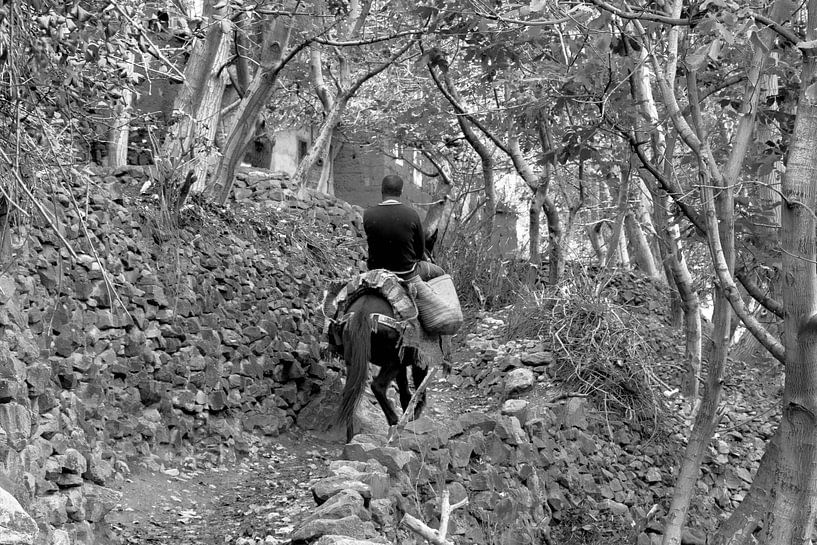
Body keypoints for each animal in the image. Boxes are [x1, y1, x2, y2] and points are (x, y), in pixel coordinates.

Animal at [336, 294, 428, 442]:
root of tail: (363, 312)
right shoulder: (420, 356)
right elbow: (419, 382)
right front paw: (415, 411)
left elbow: (404, 388)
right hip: (393, 361)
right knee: (377, 386)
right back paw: (394, 421)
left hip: (353, 360)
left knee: (350, 393)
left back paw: (350, 438)